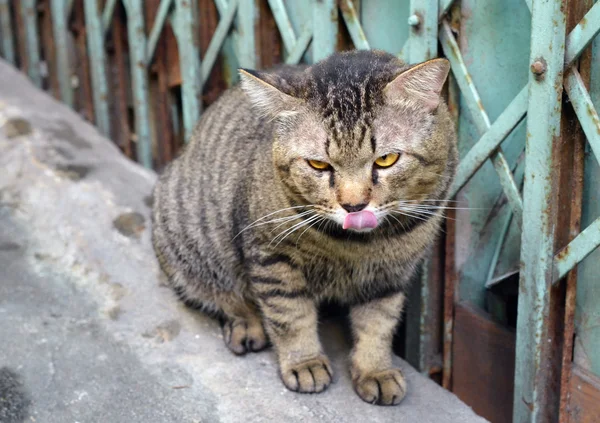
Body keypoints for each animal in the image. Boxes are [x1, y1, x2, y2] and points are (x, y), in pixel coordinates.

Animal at [152, 50, 458, 408]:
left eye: (386, 160)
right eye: (318, 165)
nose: (354, 206)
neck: (357, 246)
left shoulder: (390, 274)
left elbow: (378, 323)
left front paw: (375, 369)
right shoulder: (271, 257)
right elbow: (290, 314)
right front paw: (305, 362)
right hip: (190, 239)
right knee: (219, 293)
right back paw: (246, 323)